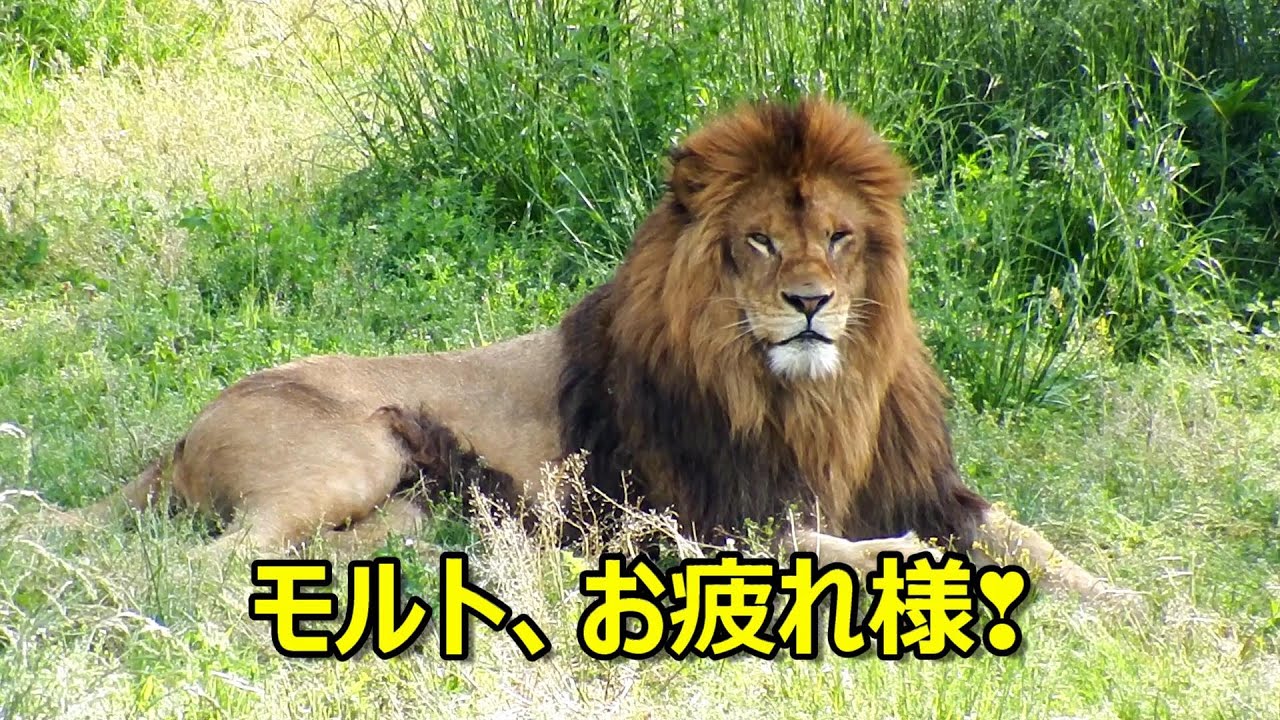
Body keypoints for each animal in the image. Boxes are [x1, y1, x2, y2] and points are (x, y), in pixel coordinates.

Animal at [67, 97, 1129, 603]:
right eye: (758, 241)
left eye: (838, 236)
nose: (811, 305)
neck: (810, 395)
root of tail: (182, 434)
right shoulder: (678, 514)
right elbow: (800, 546)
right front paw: (896, 559)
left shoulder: (929, 487)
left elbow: (1034, 544)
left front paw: (1144, 604)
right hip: (350, 457)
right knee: (213, 561)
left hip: (401, 512)